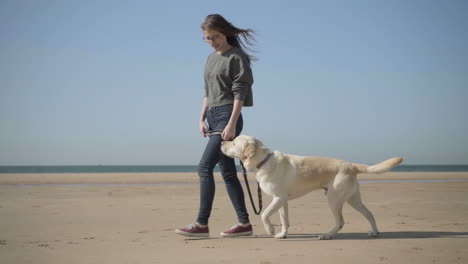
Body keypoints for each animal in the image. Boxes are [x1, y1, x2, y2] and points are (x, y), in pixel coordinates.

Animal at [221, 135, 404, 240]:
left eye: (234, 142)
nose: (222, 140)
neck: (264, 161)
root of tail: (350, 164)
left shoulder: (278, 198)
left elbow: (264, 214)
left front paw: (271, 230)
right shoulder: (282, 201)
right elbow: (284, 220)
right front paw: (282, 234)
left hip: (333, 199)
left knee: (341, 221)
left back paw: (327, 235)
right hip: (353, 199)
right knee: (369, 214)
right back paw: (374, 232)